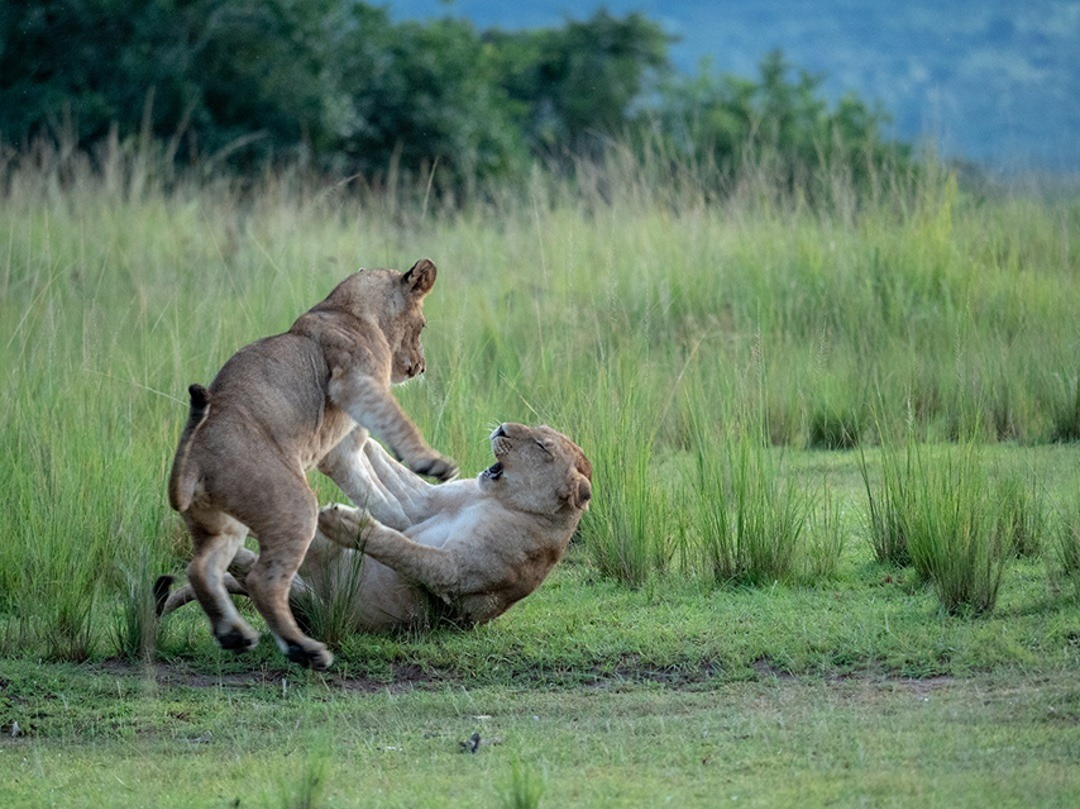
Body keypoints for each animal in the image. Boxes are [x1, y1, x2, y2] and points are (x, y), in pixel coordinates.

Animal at [157, 423, 592, 635]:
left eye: (541, 446)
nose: (501, 428)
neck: (499, 500)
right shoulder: (426, 504)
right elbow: (392, 478)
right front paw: (346, 435)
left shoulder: (457, 579)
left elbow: (404, 548)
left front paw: (345, 520)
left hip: (311, 597)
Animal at [166, 259, 458, 671]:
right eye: (422, 326)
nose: (420, 367)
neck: (347, 308)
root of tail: (192, 460)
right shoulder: (354, 385)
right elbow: (398, 425)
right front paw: (431, 464)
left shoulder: (344, 448)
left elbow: (380, 496)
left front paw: (403, 528)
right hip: (293, 503)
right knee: (262, 581)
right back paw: (304, 650)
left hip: (224, 524)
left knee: (200, 568)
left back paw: (234, 635)